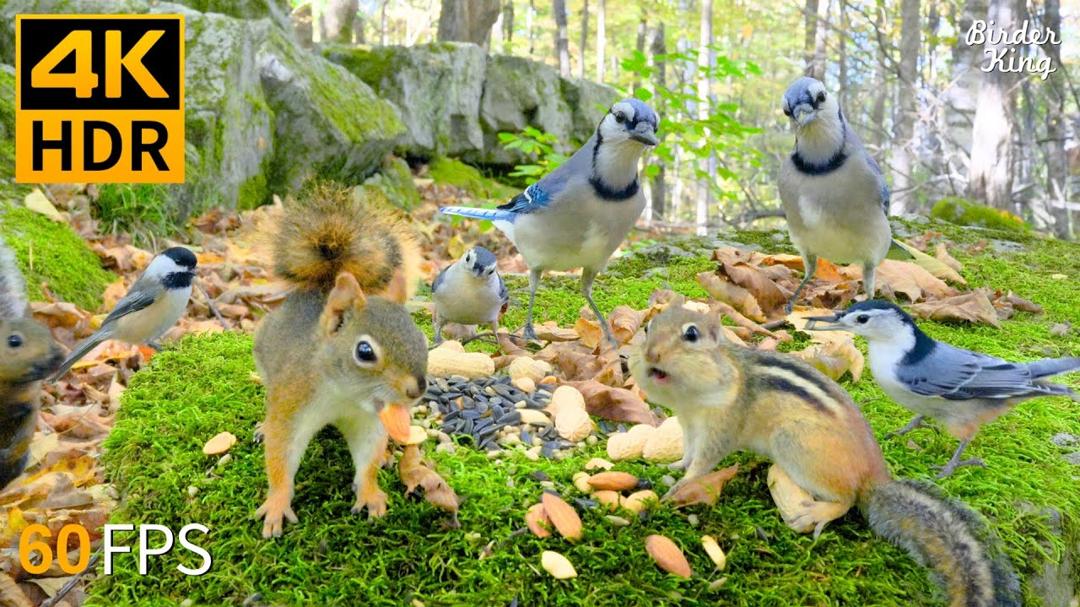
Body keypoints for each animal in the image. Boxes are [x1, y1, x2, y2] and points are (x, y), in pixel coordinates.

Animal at [253, 183, 429, 539]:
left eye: (422, 338)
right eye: (365, 352)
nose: (417, 389)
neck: (344, 396)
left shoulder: (369, 422)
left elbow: (367, 456)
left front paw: (370, 493)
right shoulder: (292, 402)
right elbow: (280, 454)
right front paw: (277, 504)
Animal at [631, 301, 1020, 607]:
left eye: (691, 335)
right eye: (648, 327)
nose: (650, 356)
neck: (692, 398)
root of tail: (875, 476)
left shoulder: (722, 425)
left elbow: (704, 462)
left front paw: (677, 488)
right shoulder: (689, 422)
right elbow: (688, 453)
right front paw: (672, 465)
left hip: (794, 444)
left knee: (847, 500)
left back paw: (819, 512)